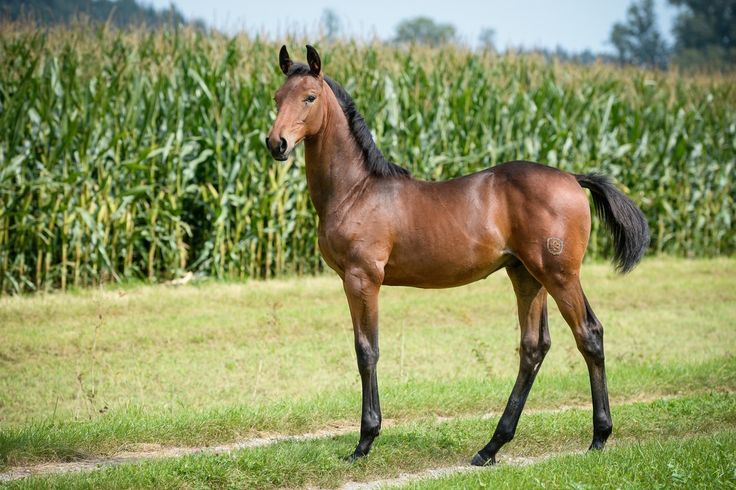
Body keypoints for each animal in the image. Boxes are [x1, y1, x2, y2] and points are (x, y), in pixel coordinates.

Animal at [268, 44, 648, 466]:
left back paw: (598, 437)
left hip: (560, 276)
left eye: (310, 97)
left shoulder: (362, 278)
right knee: (534, 347)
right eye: (277, 98)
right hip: (527, 276)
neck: (356, 191)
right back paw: (491, 447)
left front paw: (364, 441)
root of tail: (572, 178)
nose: (276, 144)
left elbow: (367, 351)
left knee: (588, 335)